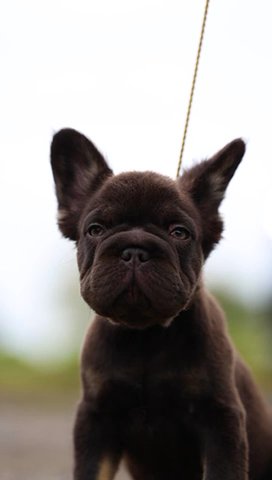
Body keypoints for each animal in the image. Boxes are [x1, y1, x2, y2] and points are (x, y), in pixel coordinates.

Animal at [50, 128, 272, 480]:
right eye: (95, 230)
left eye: (179, 232)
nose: (134, 250)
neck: (146, 335)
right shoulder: (97, 419)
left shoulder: (220, 419)